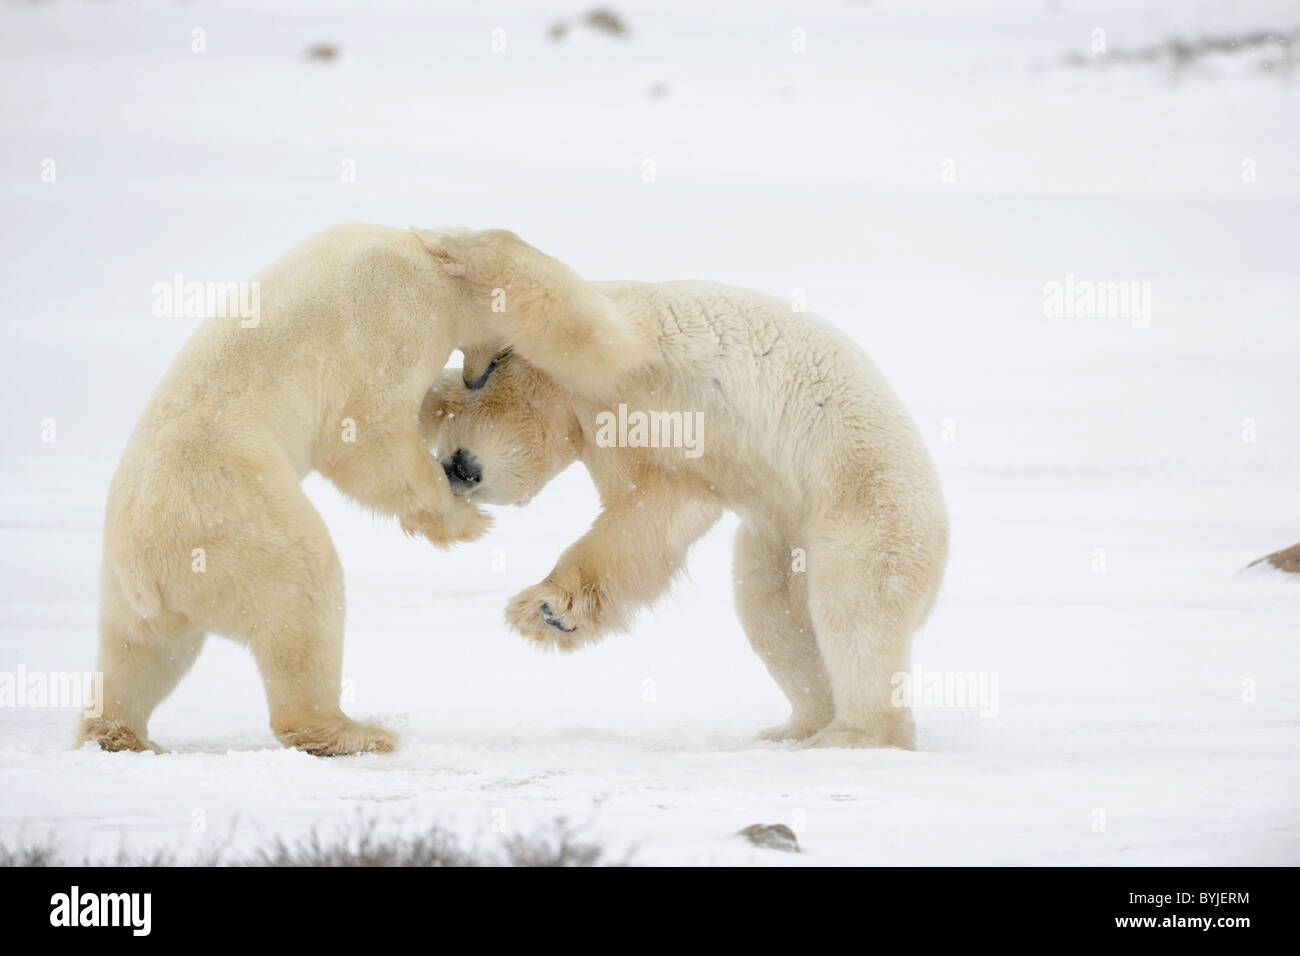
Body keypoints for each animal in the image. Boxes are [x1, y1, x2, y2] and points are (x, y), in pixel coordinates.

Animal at [78, 223, 499, 754]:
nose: (477, 375)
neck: (427, 260)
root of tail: (145, 568)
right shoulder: (394, 311)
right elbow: (363, 432)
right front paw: (465, 518)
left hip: (125, 583)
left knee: (140, 652)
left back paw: (118, 734)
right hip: (238, 521)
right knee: (305, 591)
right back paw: (355, 731)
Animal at [421, 230, 951, 749]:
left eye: (458, 460)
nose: (455, 470)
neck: (575, 403)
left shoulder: (633, 355)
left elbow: (581, 321)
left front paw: (452, 244)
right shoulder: (639, 446)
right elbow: (651, 520)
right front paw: (554, 612)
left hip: (865, 501)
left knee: (855, 607)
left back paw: (853, 735)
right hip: (779, 537)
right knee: (774, 615)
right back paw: (796, 727)